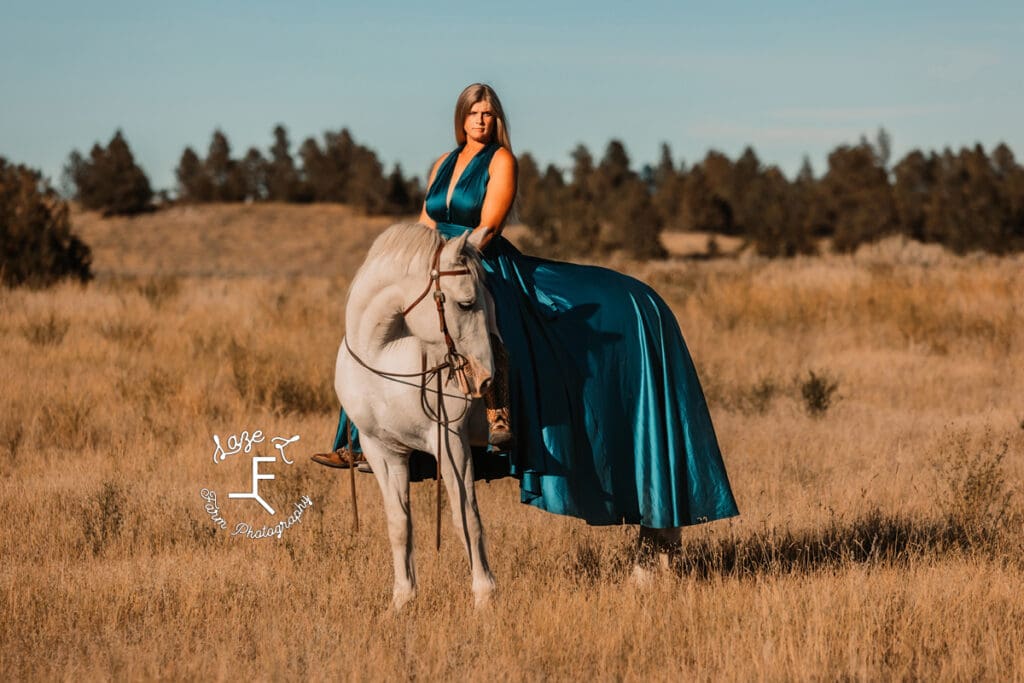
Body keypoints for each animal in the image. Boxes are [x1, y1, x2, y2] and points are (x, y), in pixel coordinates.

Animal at [335, 223, 495, 610]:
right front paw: (403, 599)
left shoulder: (452, 444)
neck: (383, 355)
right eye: (466, 303)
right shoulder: (383, 451)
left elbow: (466, 517)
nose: (485, 379)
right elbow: (399, 523)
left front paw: (484, 596)